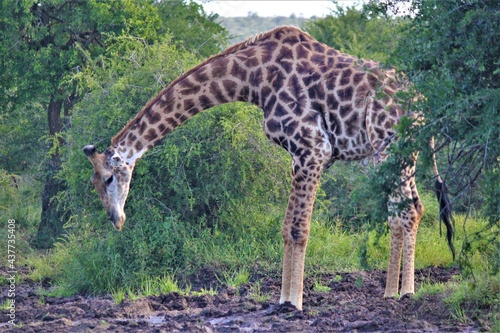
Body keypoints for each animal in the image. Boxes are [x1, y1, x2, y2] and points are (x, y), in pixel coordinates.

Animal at [83, 25, 454, 308]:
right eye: (96, 184)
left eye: (109, 177)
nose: (116, 220)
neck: (252, 80)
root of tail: (422, 102)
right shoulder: (297, 155)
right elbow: (285, 227)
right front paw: (282, 299)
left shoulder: (313, 148)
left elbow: (298, 229)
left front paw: (295, 303)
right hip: (390, 154)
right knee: (408, 210)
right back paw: (391, 292)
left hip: (390, 148)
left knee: (408, 210)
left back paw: (406, 293)